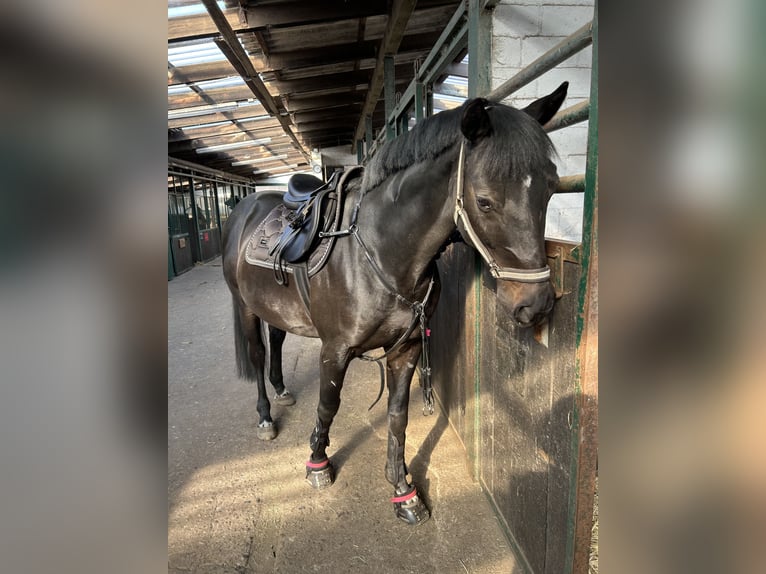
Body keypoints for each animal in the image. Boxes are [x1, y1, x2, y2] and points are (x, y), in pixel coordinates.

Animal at [221, 82, 568, 525]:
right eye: (485, 201)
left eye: (551, 188)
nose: (536, 304)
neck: (379, 253)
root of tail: (245, 208)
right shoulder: (335, 349)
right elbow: (328, 405)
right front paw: (317, 463)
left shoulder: (407, 348)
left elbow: (398, 416)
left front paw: (403, 490)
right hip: (245, 307)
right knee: (258, 353)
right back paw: (266, 416)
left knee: (278, 343)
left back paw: (283, 390)